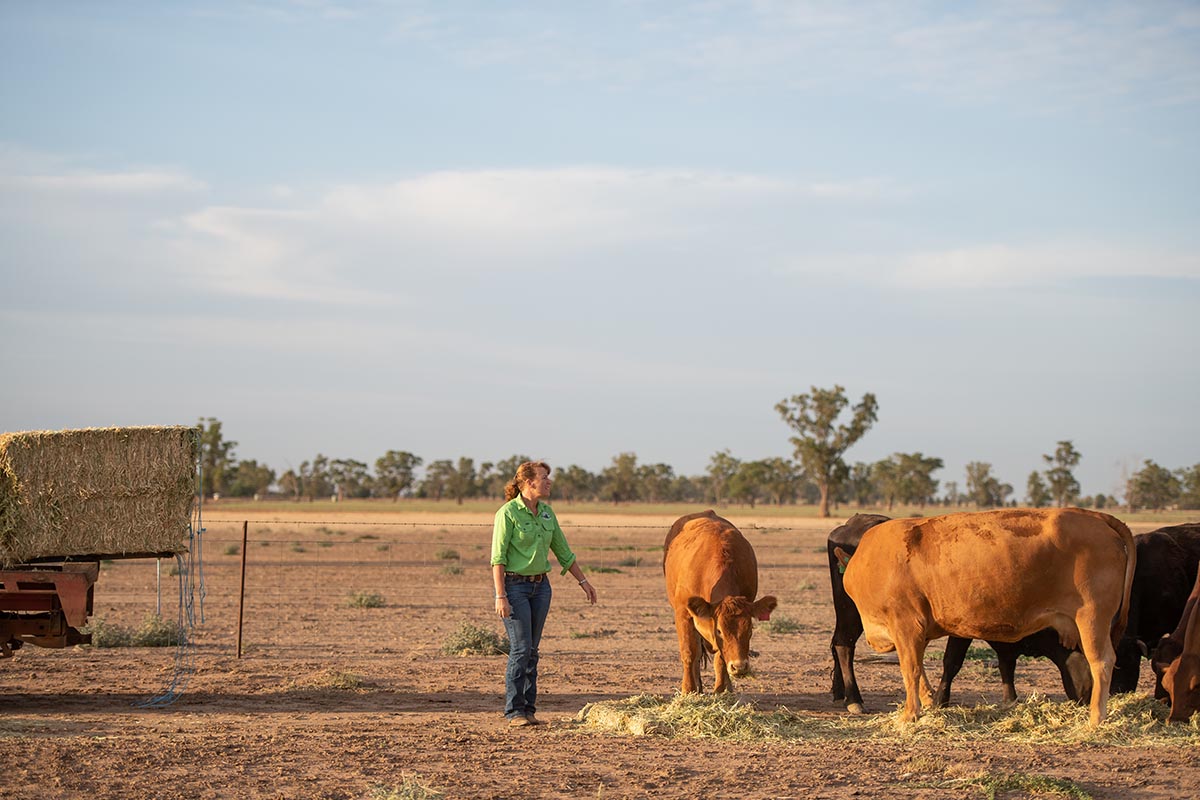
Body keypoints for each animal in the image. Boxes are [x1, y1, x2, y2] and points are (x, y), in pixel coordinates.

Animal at [667, 513, 777, 695]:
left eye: (750, 629)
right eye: (719, 630)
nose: (739, 667)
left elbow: (720, 658)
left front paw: (721, 690)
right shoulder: (683, 613)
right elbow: (689, 652)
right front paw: (688, 690)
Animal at [835, 510, 1132, 729]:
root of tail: (1093, 516)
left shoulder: (906, 624)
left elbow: (912, 670)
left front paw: (910, 714)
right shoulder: (914, 632)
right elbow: (919, 670)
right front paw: (929, 701)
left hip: (1092, 619)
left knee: (1102, 663)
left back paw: (1095, 719)